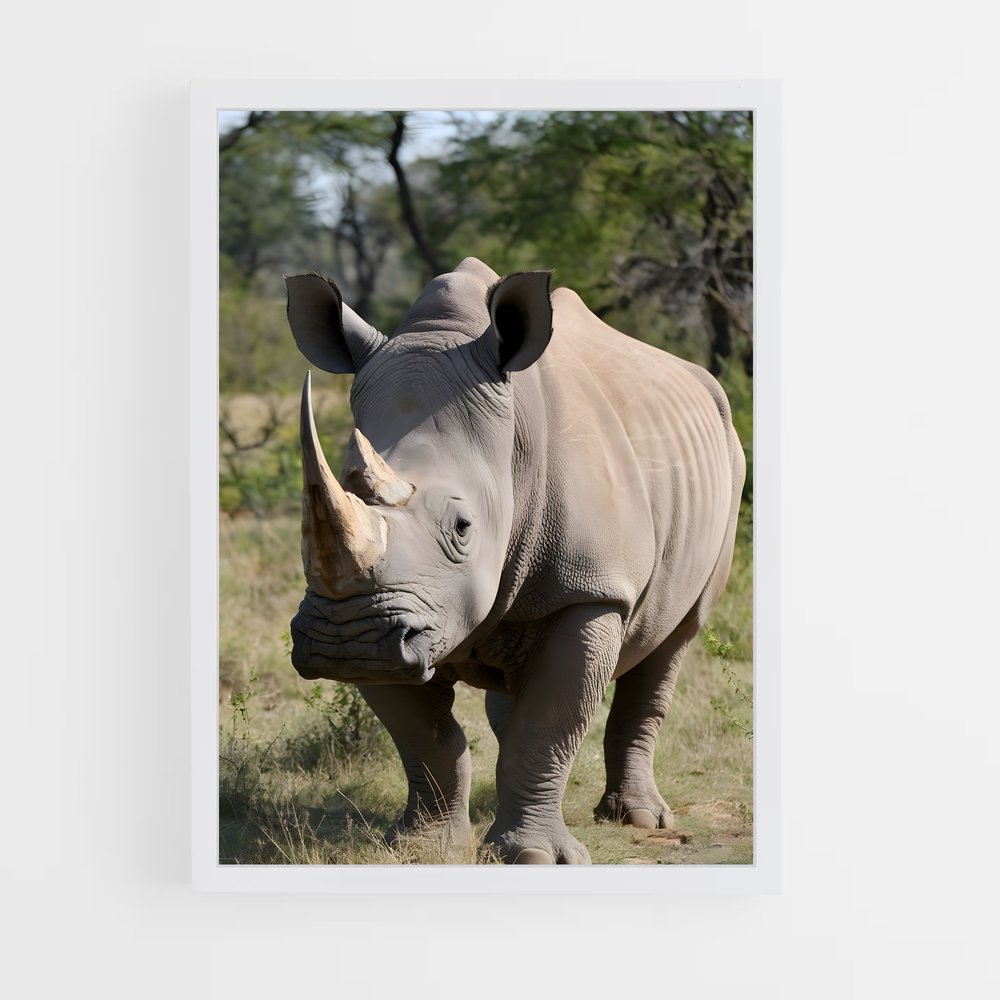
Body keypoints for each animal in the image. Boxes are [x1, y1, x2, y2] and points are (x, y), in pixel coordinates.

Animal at [284, 257, 745, 864]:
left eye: (463, 528)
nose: (347, 639)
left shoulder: (589, 590)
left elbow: (547, 726)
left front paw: (531, 858)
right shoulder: (392, 625)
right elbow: (425, 737)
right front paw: (420, 845)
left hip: (730, 464)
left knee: (674, 639)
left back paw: (639, 819)